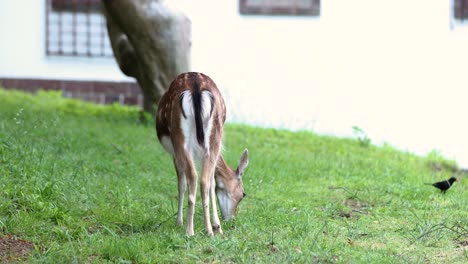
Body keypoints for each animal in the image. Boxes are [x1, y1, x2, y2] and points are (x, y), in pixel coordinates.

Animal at [155, 71, 249, 235]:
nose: (231, 219)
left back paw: (190, 230)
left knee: (194, 176)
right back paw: (208, 230)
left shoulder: (175, 154)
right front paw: (216, 226)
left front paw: (179, 222)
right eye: (243, 194)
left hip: (180, 139)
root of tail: (196, 86)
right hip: (213, 139)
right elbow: (210, 183)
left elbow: (181, 184)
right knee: (204, 180)